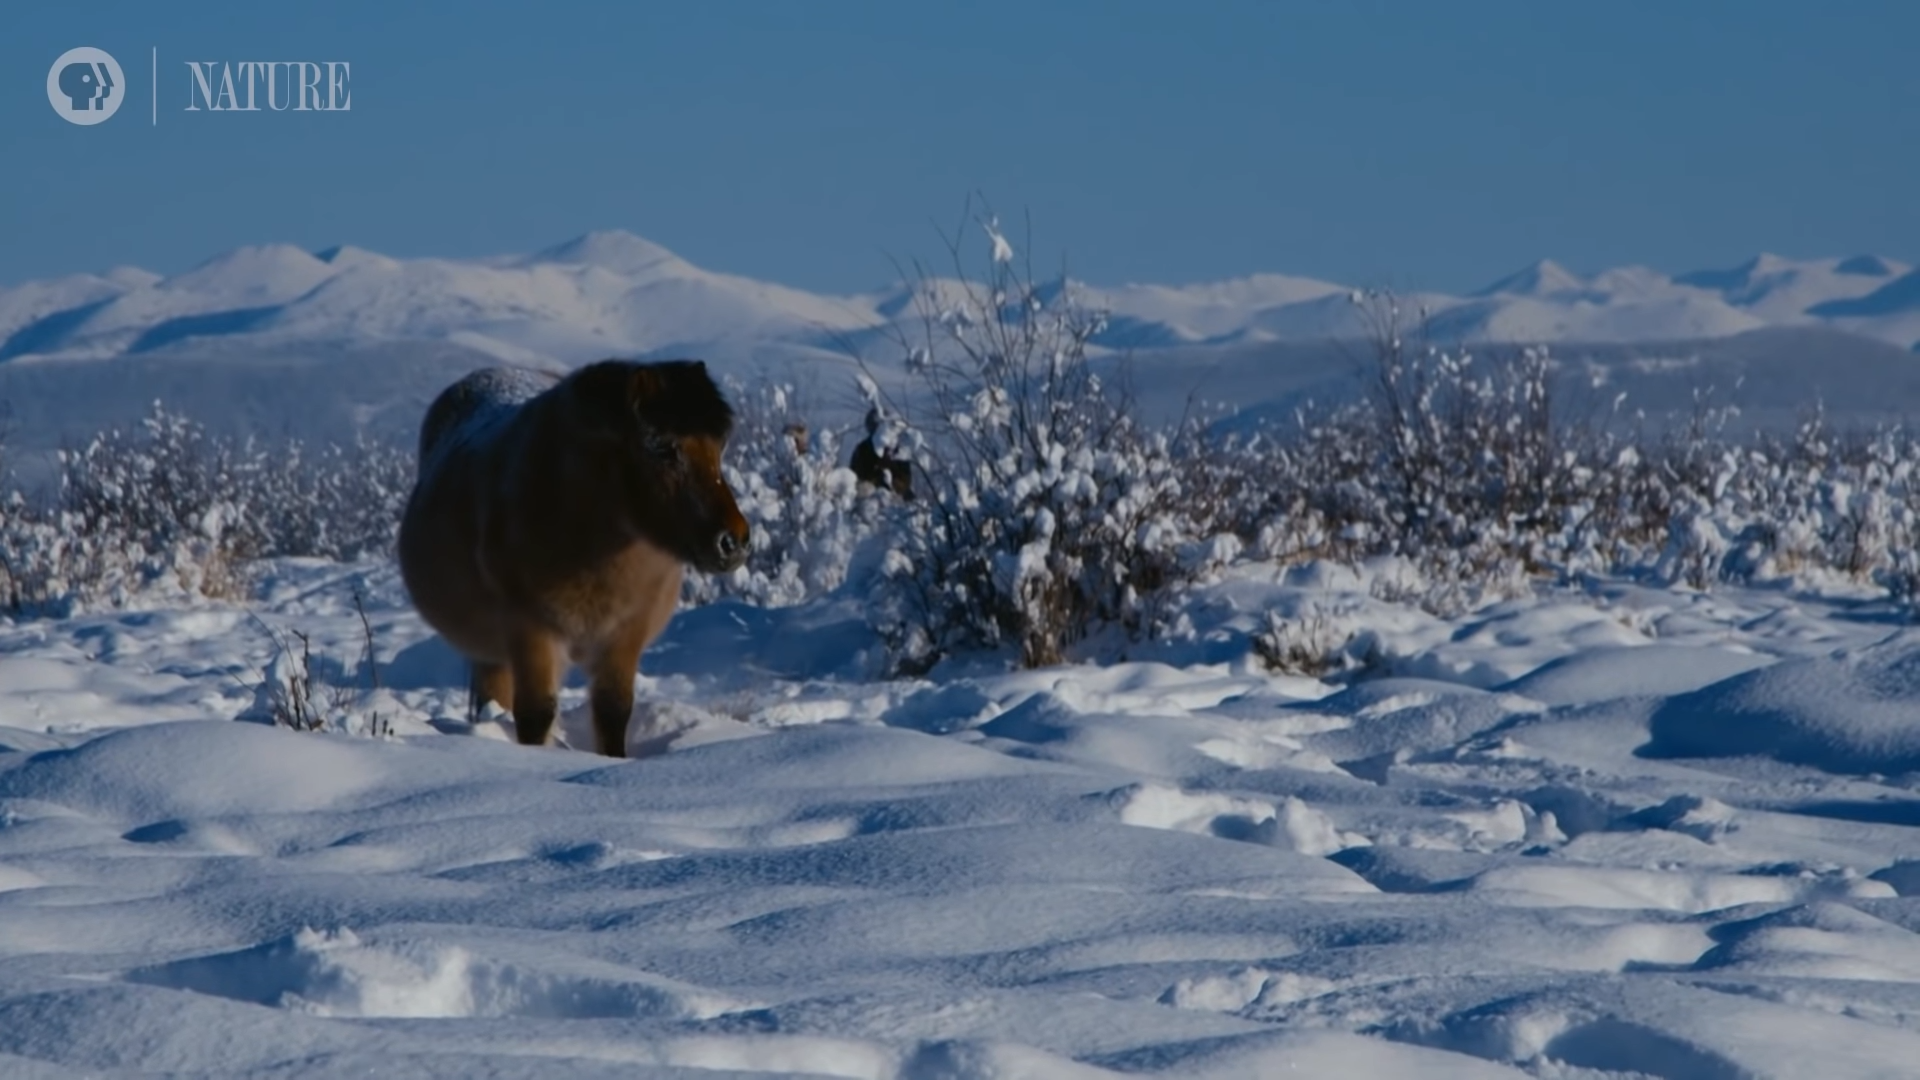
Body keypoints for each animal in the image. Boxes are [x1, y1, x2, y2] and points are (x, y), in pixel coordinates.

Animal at [397, 357, 748, 753]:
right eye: (665, 449)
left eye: (719, 447)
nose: (733, 541)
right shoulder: (529, 629)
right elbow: (536, 713)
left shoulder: (625, 633)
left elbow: (613, 710)